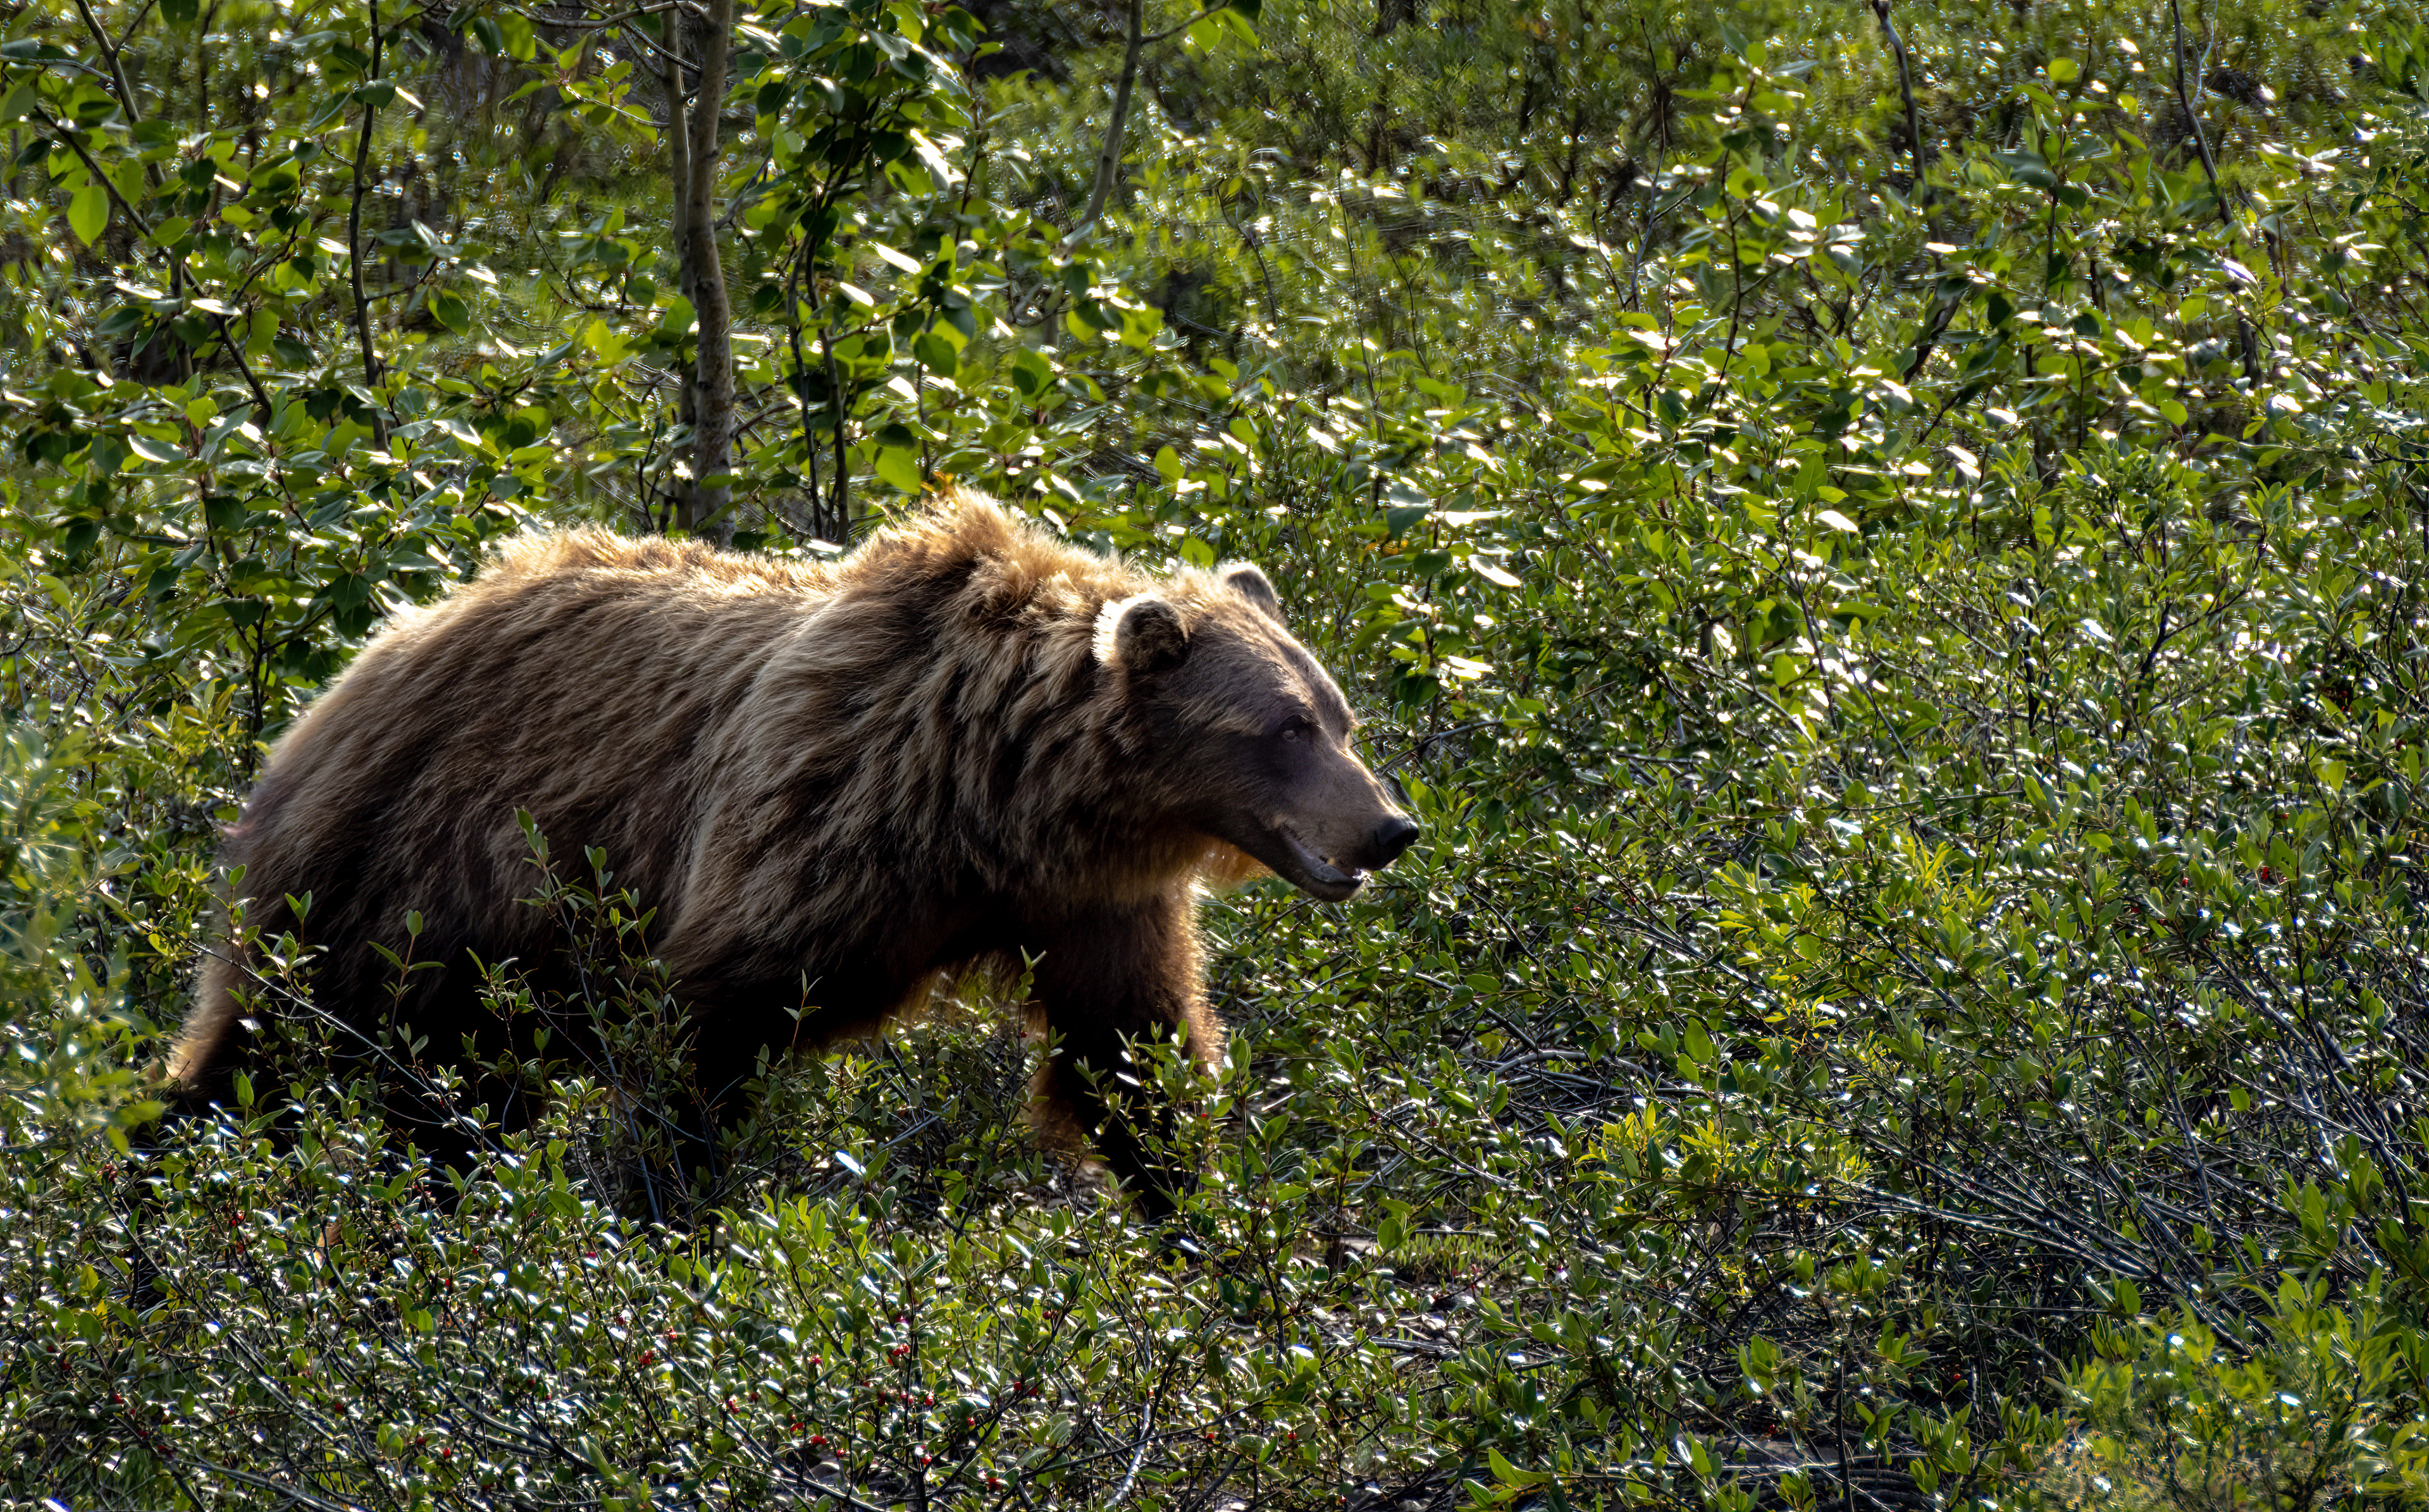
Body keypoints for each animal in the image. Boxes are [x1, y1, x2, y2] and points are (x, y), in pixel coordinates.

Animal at [169, 490, 1419, 1215]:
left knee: (450, 1092)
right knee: (269, 1050)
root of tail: (373, 645)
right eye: (1285, 728)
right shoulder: (813, 826)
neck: (998, 799)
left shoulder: (1088, 907)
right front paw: (662, 1217)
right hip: (404, 873)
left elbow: (1131, 1063)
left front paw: (1205, 1232)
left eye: (1340, 714)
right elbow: (700, 1046)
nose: (1390, 826)